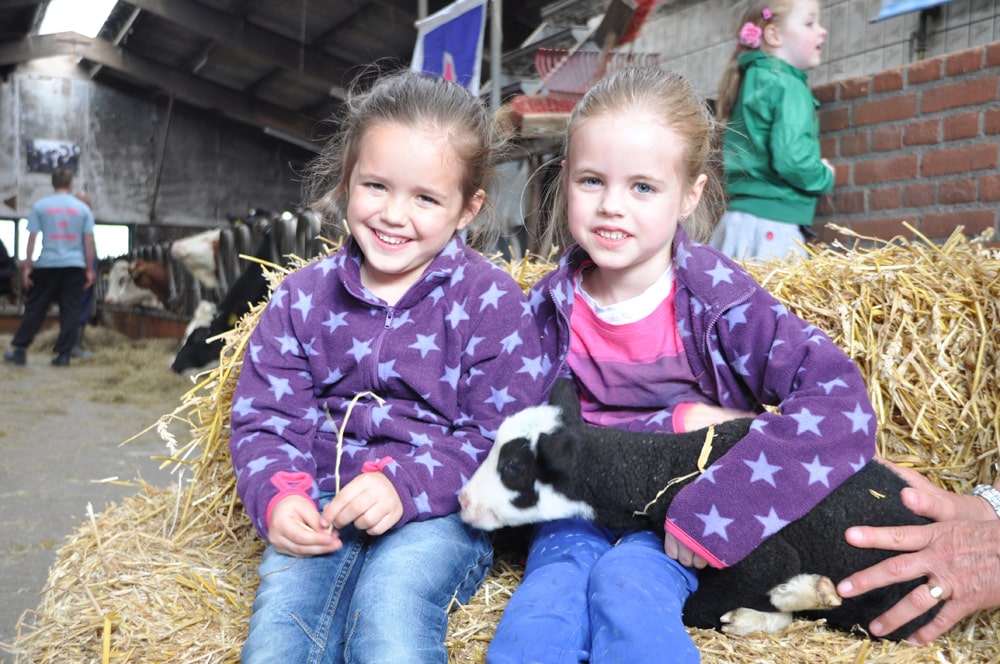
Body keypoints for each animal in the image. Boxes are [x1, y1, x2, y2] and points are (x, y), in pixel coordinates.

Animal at [459, 378, 941, 640]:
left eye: (515, 467)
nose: (463, 501)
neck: (658, 470)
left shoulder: (759, 558)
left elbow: (696, 608)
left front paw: (791, 594)